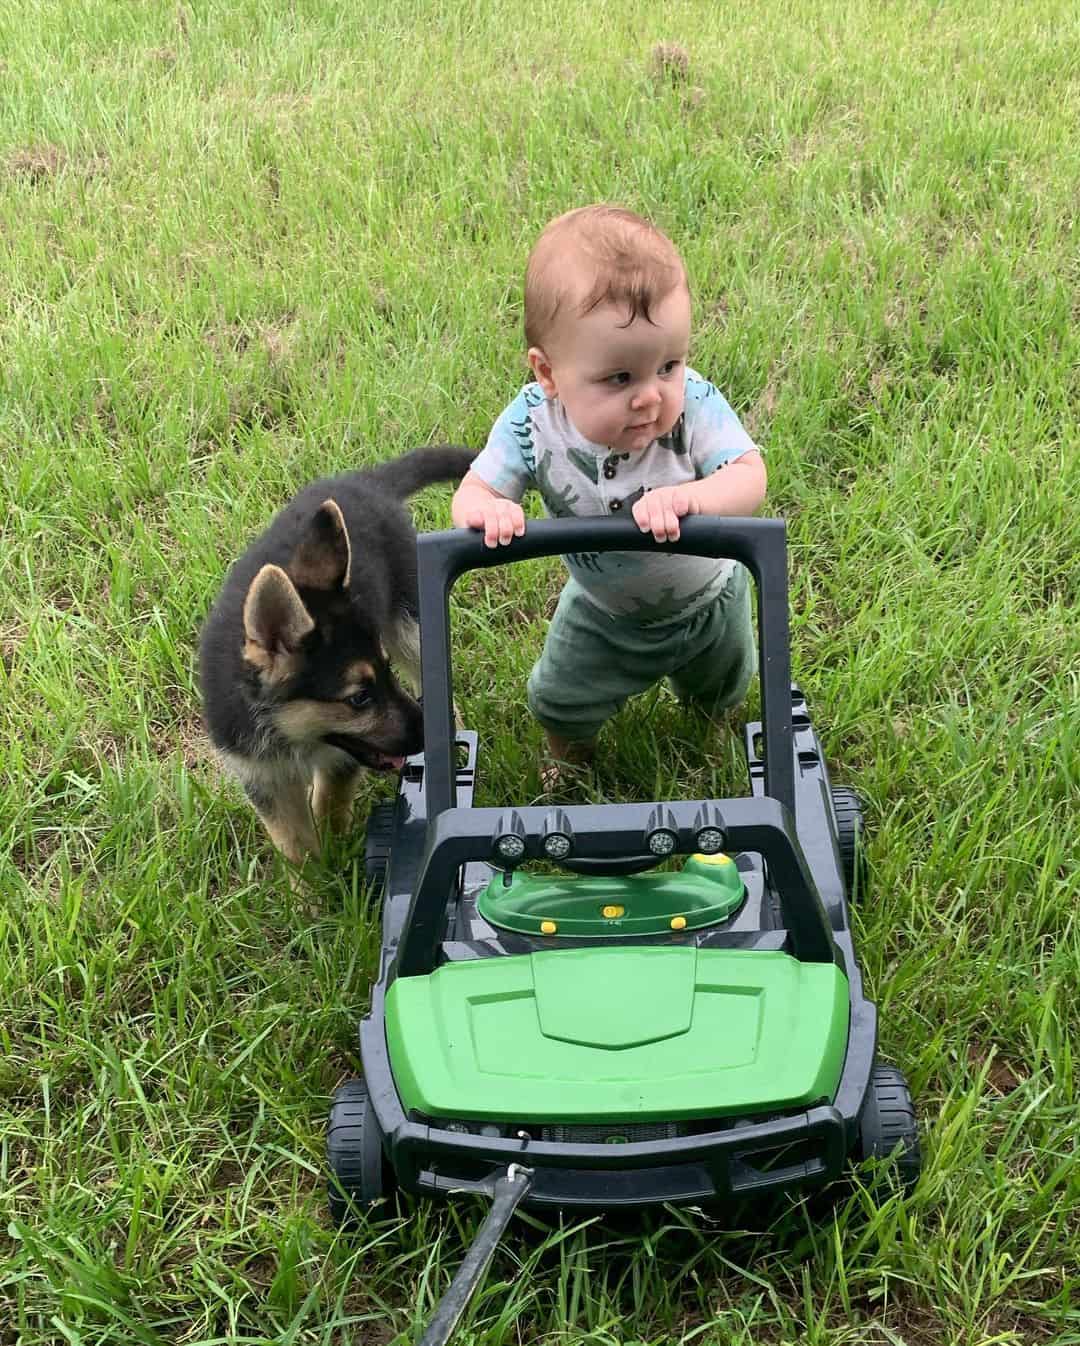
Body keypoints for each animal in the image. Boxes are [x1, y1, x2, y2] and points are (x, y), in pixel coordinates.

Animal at [197, 446, 471, 866]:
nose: (431, 739)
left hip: (410, 625)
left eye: (387, 672)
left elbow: (328, 802)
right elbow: (294, 841)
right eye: (359, 698)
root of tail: (368, 480)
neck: (288, 730)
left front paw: (335, 850)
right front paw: (313, 878)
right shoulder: (263, 777)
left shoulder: (341, 761)